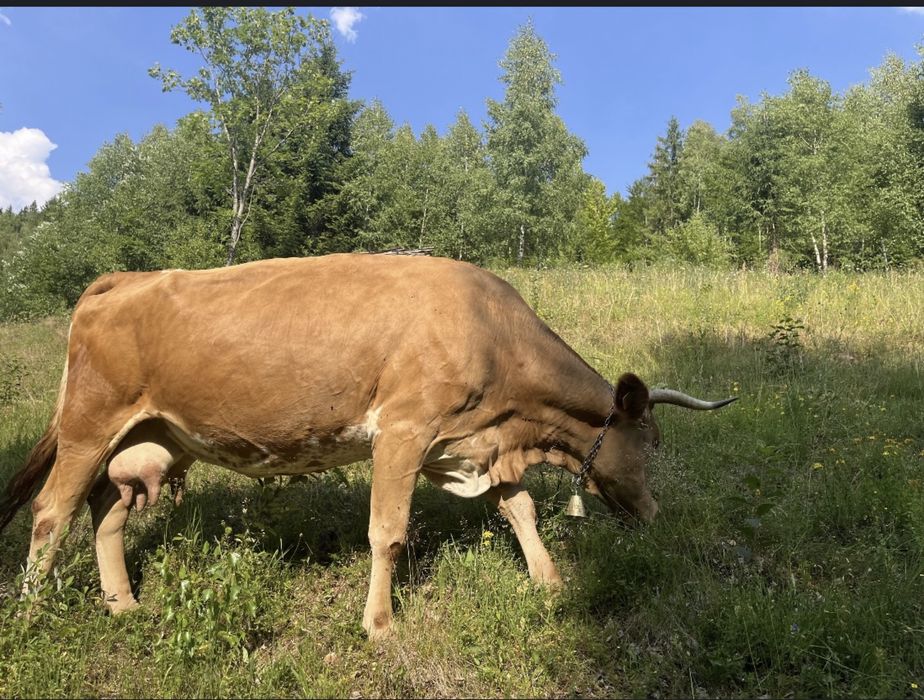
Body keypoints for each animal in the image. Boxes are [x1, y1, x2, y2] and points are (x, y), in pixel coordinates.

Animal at [0, 254, 735, 639]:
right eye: (652, 443)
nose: (655, 516)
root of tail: (124, 278)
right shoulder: (404, 431)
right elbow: (388, 530)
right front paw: (379, 623)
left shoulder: (475, 440)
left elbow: (520, 510)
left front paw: (550, 582)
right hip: (89, 423)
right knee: (51, 511)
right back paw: (32, 613)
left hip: (149, 435)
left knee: (107, 511)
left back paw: (123, 604)